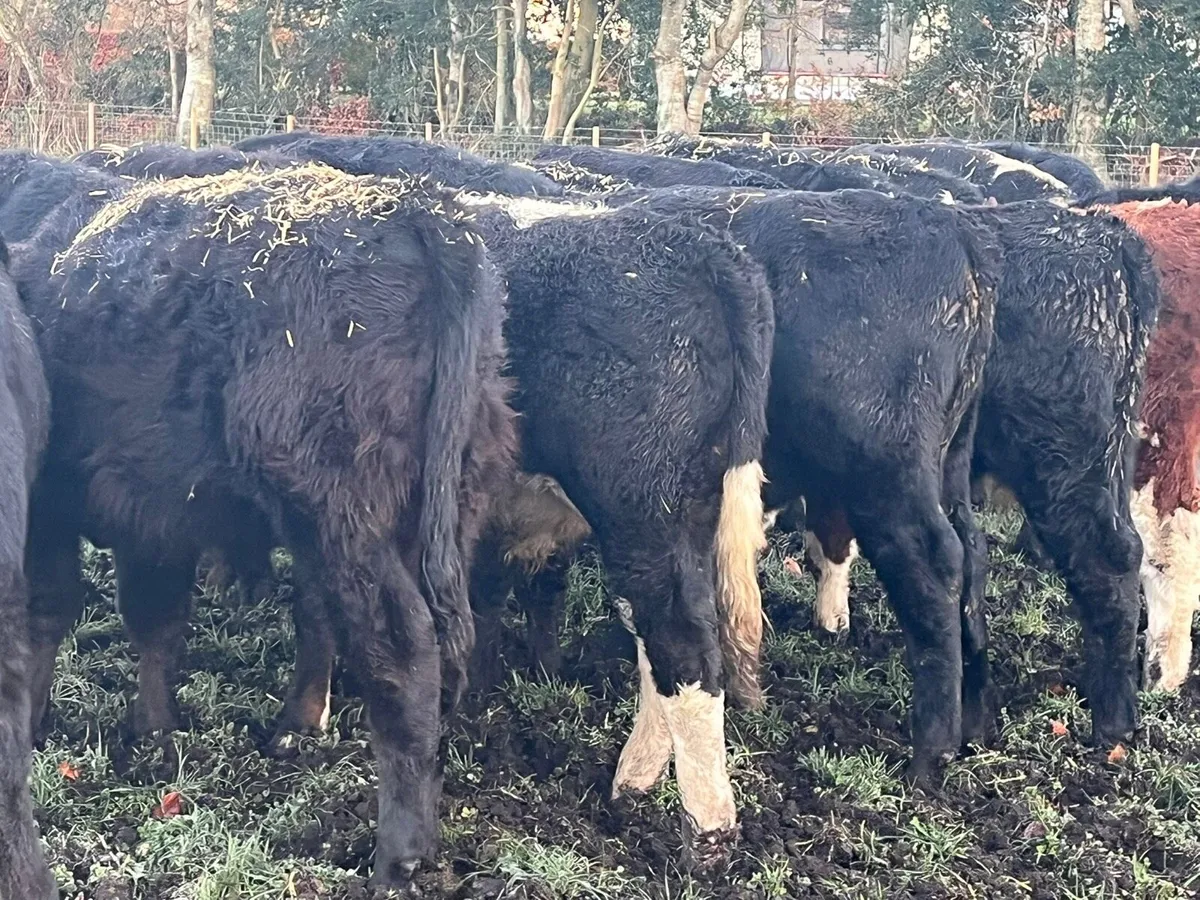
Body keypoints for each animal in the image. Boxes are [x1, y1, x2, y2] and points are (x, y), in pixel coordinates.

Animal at [11, 162, 517, 888]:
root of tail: (421, 212)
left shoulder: (53, 506)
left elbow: (48, 613)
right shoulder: (151, 512)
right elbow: (154, 618)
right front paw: (155, 733)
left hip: (341, 514)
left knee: (400, 648)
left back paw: (396, 856)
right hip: (438, 504)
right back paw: (298, 732)